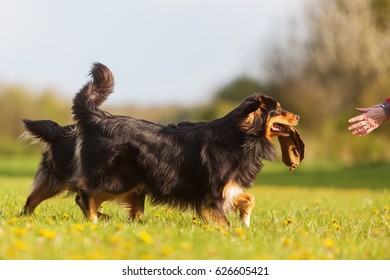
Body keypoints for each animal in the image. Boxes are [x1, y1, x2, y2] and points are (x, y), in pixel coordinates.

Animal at [71, 61, 300, 228]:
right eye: (279, 110)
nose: (298, 116)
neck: (240, 136)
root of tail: (98, 119)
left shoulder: (228, 188)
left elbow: (249, 198)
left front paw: (245, 221)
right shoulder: (210, 195)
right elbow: (223, 222)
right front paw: (232, 233)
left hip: (130, 184)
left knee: (88, 198)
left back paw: (101, 218)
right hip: (118, 178)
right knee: (83, 191)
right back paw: (94, 218)